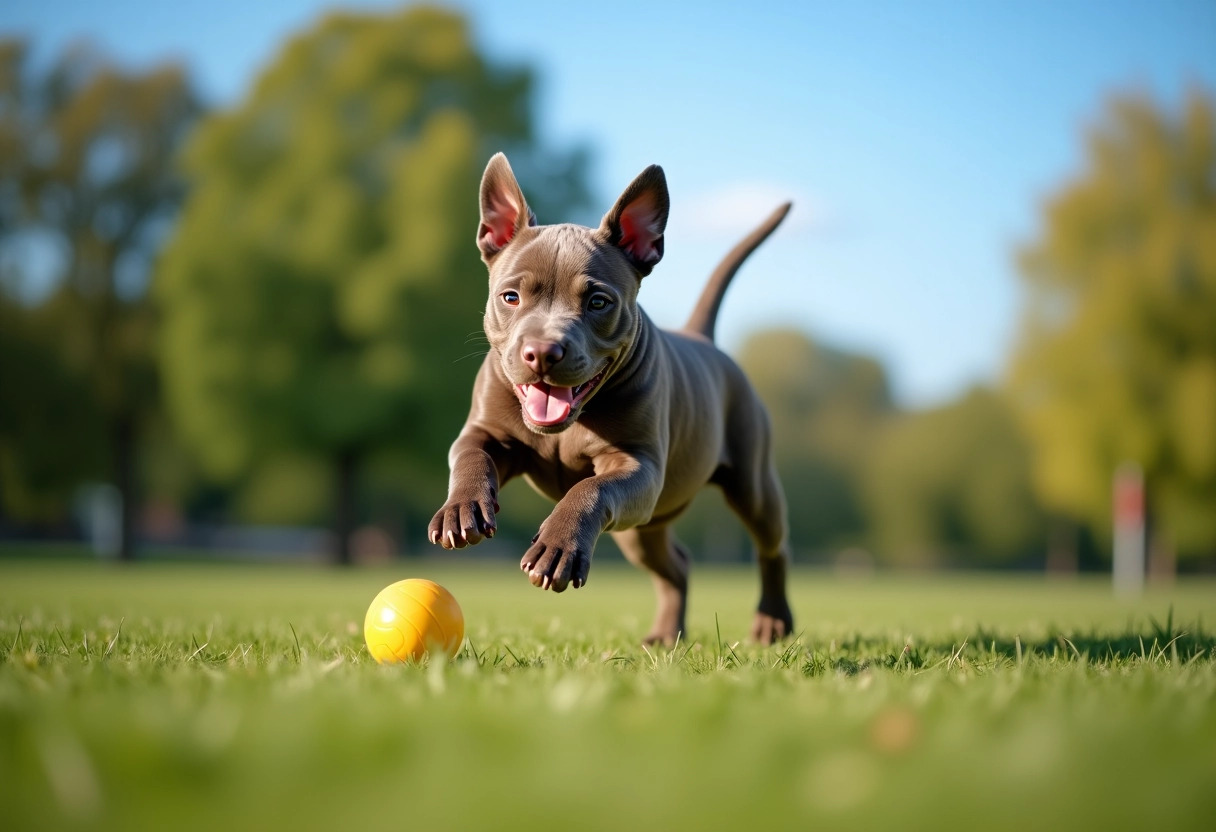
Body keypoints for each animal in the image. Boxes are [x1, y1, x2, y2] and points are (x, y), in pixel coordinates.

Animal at [430, 152, 797, 642]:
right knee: (676, 565)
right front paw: (461, 509)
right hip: (640, 529)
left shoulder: (637, 466)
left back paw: (772, 619)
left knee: (773, 545)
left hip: (751, 486)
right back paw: (667, 635)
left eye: (598, 302)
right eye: (510, 297)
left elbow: (591, 487)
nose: (542, 352)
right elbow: (471, 457)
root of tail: (702, 337)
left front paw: (558, 546)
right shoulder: (486, 431)